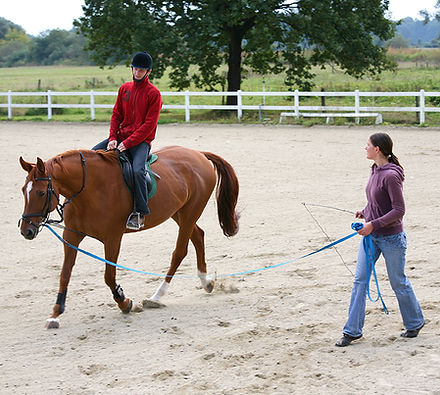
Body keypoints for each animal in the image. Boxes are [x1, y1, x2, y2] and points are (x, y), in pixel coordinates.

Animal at [19, 147, 241, 330]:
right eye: (23, 191)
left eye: (41, 193)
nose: (26, 230)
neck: (89, 190)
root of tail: (198, 154)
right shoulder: (71, 236)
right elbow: (65, 274)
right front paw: (55, 314)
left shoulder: (112, 238)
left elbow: (109, 276)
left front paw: (124, 303)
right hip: (179, 212)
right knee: (198, 236)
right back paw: (206, 282)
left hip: (190, 212)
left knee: (180, 252)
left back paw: (157, 296)